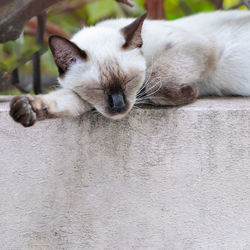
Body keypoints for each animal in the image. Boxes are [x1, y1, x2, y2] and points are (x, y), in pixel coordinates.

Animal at [8, 9, 250, 127]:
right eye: (97, 89)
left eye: (130, 80)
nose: (120, 106)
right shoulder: (87, 100)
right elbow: (61, 100)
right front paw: (27, 109)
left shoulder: (197, 46)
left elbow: (154, 82)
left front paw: (190, 92)